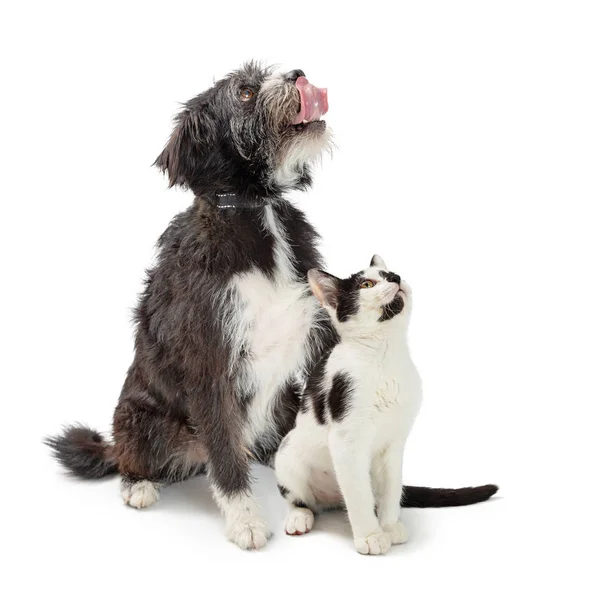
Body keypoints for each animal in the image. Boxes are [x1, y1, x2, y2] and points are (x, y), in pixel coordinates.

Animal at [274, 255, 420, 556]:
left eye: (388, 273)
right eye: (367, 284)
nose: (396, 277)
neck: (385, 355)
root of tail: (332, 498)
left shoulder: (394, 445)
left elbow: (391, 489)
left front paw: (388, 526)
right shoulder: (347, 441)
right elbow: (359, 494)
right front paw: (371, 536)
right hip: (286, 454)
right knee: (300, 499)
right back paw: (299, 517)